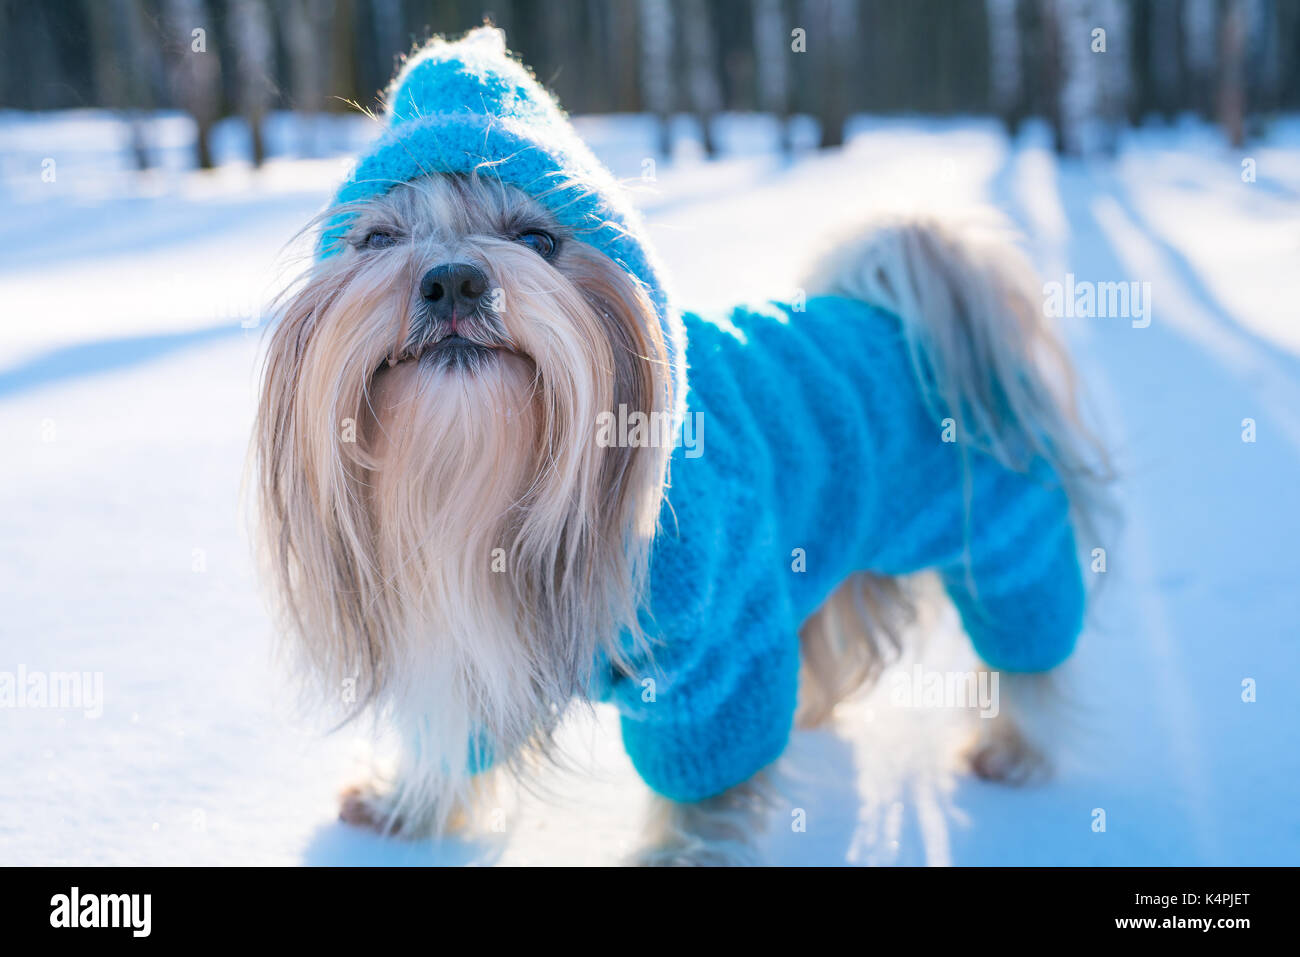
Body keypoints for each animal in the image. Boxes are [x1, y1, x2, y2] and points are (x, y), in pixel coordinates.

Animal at [250, 27, 1107, 868]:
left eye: (538, 238)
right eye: (377, 239)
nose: (454, 279)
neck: (489, 477)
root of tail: (908, 319)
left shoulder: (718, 651)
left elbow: (707, 785)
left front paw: (679, 856)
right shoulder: (465, 629)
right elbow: (461, 733)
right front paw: (409, 804)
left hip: (1005, 539)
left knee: (1027, 645)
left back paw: (1014, 748)